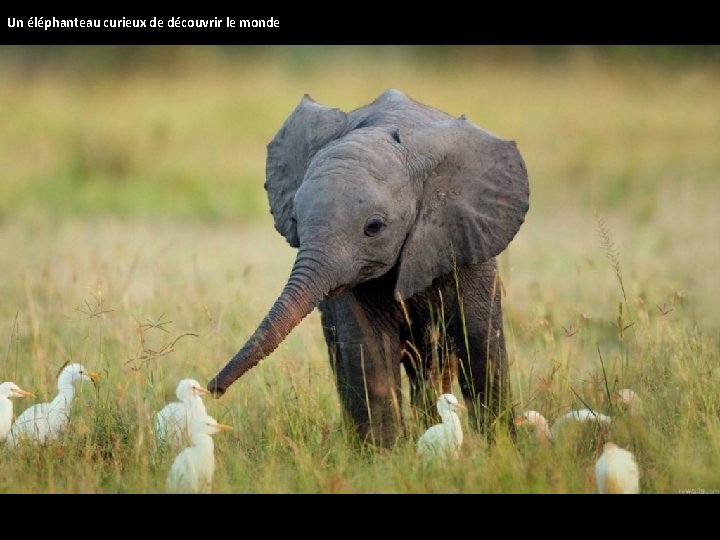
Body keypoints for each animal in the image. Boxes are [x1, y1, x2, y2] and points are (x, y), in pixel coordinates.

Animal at [208, 89, 528, 448]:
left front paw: (503, 449)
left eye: (373, 227)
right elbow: (368, 351)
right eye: (295, 221)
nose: (213, 389)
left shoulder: (466, 238)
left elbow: (481, 346)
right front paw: (384, 457)